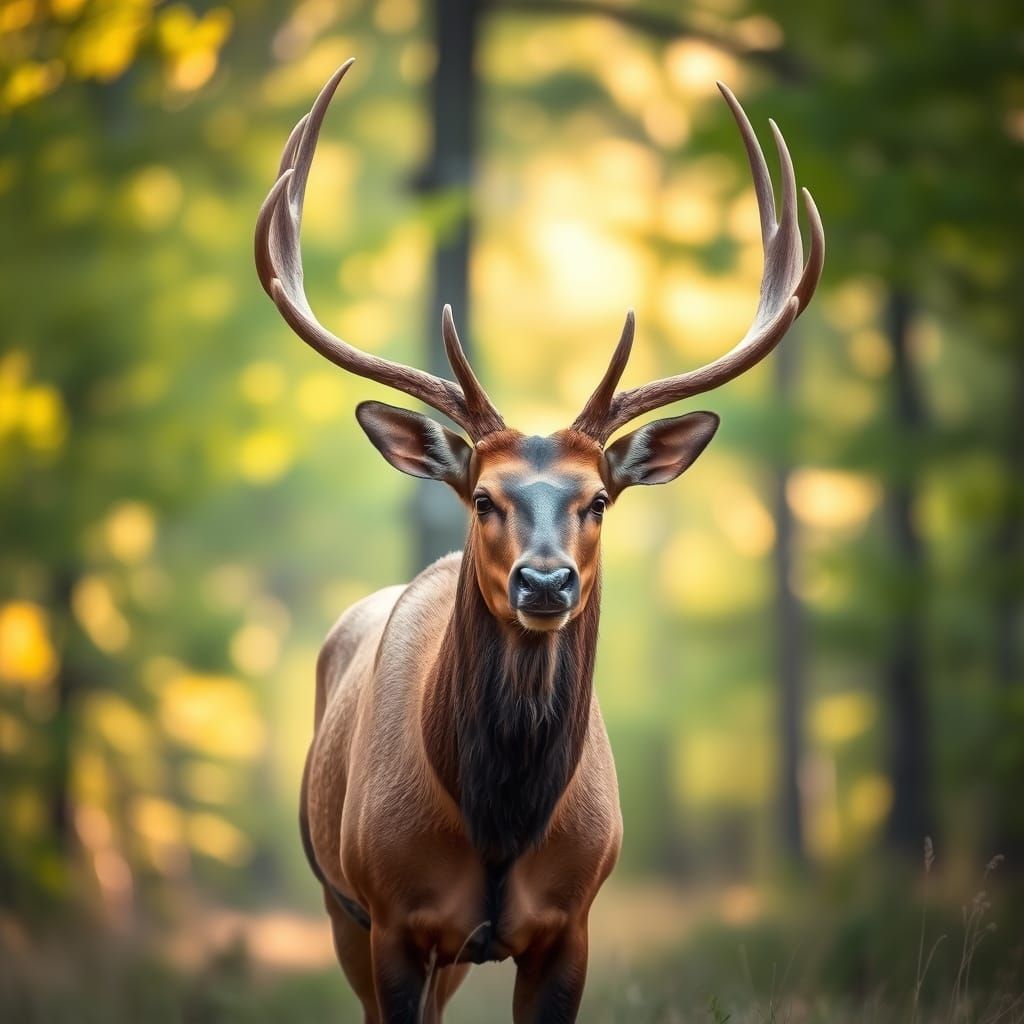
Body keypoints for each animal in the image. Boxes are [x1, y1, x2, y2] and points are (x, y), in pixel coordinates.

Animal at [255, 59, 823, 1024]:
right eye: (483, 496)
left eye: (598, 500)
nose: (546, 584)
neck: (499, 822)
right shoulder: (392, 917)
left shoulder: (571, 922)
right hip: (341, 907)